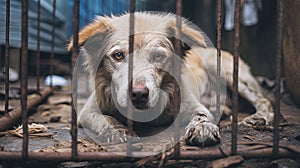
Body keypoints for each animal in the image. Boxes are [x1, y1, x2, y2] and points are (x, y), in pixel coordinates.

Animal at [68, 12, 274, 146]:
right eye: (118, 55)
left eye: (158, 56)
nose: (138, 94)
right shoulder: (87, 111)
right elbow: (105, 118)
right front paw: (119, 130)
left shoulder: (192, 103)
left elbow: (201, 115)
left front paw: (202, 128)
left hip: (226, 72)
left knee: (264, 100)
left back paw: (258, 117)